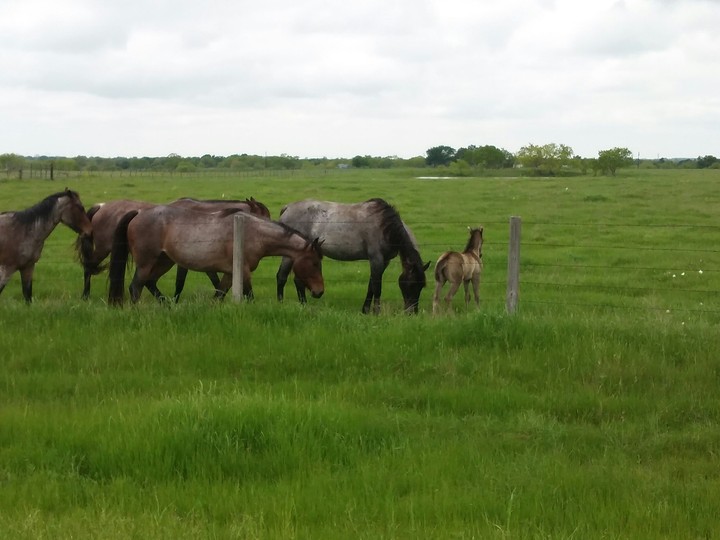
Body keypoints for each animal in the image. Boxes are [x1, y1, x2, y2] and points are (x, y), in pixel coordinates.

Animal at [76, 197, 271, 300]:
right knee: (88, 267)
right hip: (105, 249)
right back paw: (85, 295)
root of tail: (101, 206)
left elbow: (216, 281)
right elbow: (181, 283)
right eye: (264, 217)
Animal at [107, 205, 323, 306]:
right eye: (314, 263)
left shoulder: (230, 272)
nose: (319, 292)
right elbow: (249, 295)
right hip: (147, 262)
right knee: (136, 287)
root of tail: (138, 213)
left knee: (150, 283)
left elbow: (219, 294)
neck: (253, 232)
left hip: (164, 261)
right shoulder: (244, 271)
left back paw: (168, 306)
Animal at [276, 198, 430, 314]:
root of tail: (287, 207)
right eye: (411, 284)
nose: (412, 312)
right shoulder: (376, 259)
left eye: (421, 286)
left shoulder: (384, 262)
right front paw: (376, 312)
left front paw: (365, 310)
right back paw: (281, 304)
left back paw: (303, 305)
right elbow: (377, 287)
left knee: (298, 280)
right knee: (282, 276)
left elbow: (371, 285)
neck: (384, 226)